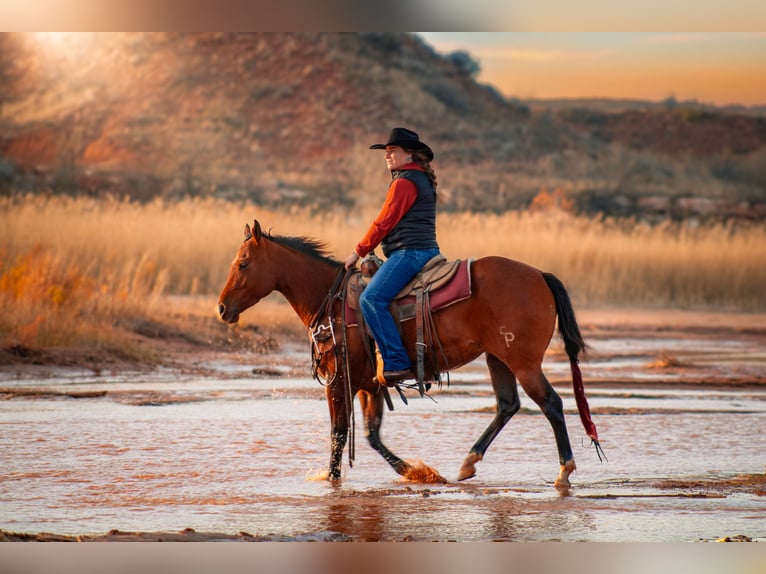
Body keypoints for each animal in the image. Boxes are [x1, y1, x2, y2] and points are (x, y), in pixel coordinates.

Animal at [218, 219, 601, 489]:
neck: (332, 302)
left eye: (243, 264)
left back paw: (563, 472)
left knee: (550, 403)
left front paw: (333, 480)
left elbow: (339, 433)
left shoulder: (338, 382)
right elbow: (371, 435)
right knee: (508, 405)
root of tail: (539, 275)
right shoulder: (369, 385)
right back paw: (467, 463)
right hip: (498, 358)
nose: (222, 308)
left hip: (523, 362)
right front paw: (416, 472)